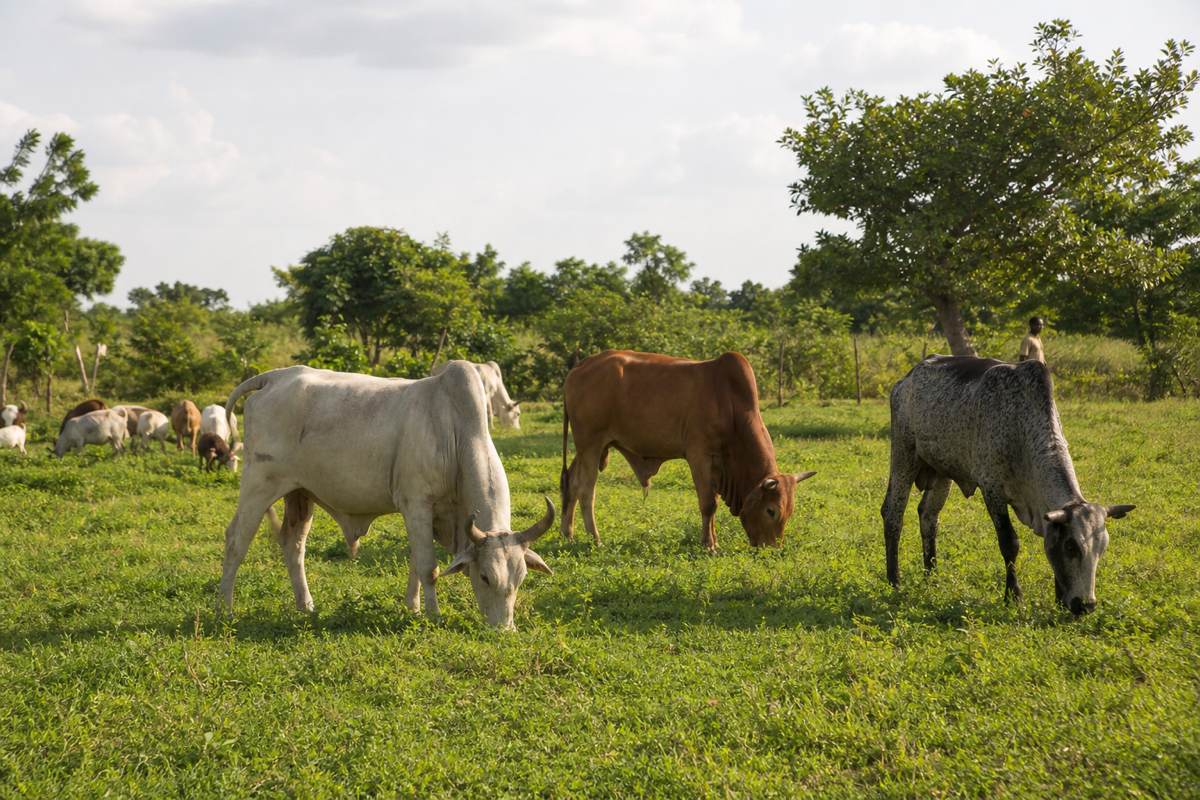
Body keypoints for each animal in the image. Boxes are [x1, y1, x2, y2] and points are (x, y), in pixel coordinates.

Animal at [218, 362, 554, 629]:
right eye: (485, 577)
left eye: (521, 578)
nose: (504, 629)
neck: (455, 432)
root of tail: (273, 377)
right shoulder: (417, 504)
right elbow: (428, 567)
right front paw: (433, 615)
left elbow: (416, 563)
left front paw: (413, 608)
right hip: (259, 485)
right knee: (236, 541)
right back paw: (225, 609)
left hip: (300, 493)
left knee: (293, 545)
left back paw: (306, 606)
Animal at [561, 350, 816, 551]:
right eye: (771, 511)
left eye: (790, 511)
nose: (771, 548)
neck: (729, 404)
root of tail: (580, 367)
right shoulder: (698, 455)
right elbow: (708, 504)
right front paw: (709, 545)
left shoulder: (718, 465)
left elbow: (712, 502)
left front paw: (713, 541)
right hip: (591, 444)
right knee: (586, 490)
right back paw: (595, 539)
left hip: (588, 448)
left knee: (571, 483)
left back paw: (568, 534)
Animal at [882, 355, 1135, 615]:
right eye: (1071, 547)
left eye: (1101, 549)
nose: (1086, 605)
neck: (1021, 426)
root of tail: (906, 379)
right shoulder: (992, 488)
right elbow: (1009, 542)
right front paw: (1014, 596)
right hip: (904, 456)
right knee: (893, 513)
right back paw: (894, 580)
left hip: (942, 472)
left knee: (928, 516)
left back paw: (931, 576)